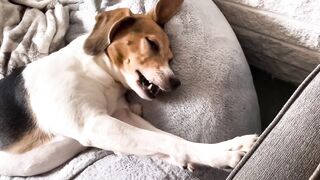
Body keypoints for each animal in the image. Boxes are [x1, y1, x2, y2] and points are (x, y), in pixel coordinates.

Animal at [0, 0, 258, 176]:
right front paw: (222, 156)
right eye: (151, 43)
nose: (176, 82)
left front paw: (232, 144)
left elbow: (170, 138)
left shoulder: (120, 115)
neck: (98, 73)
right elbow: (171, 142)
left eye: (171, 58)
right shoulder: (95, 124)